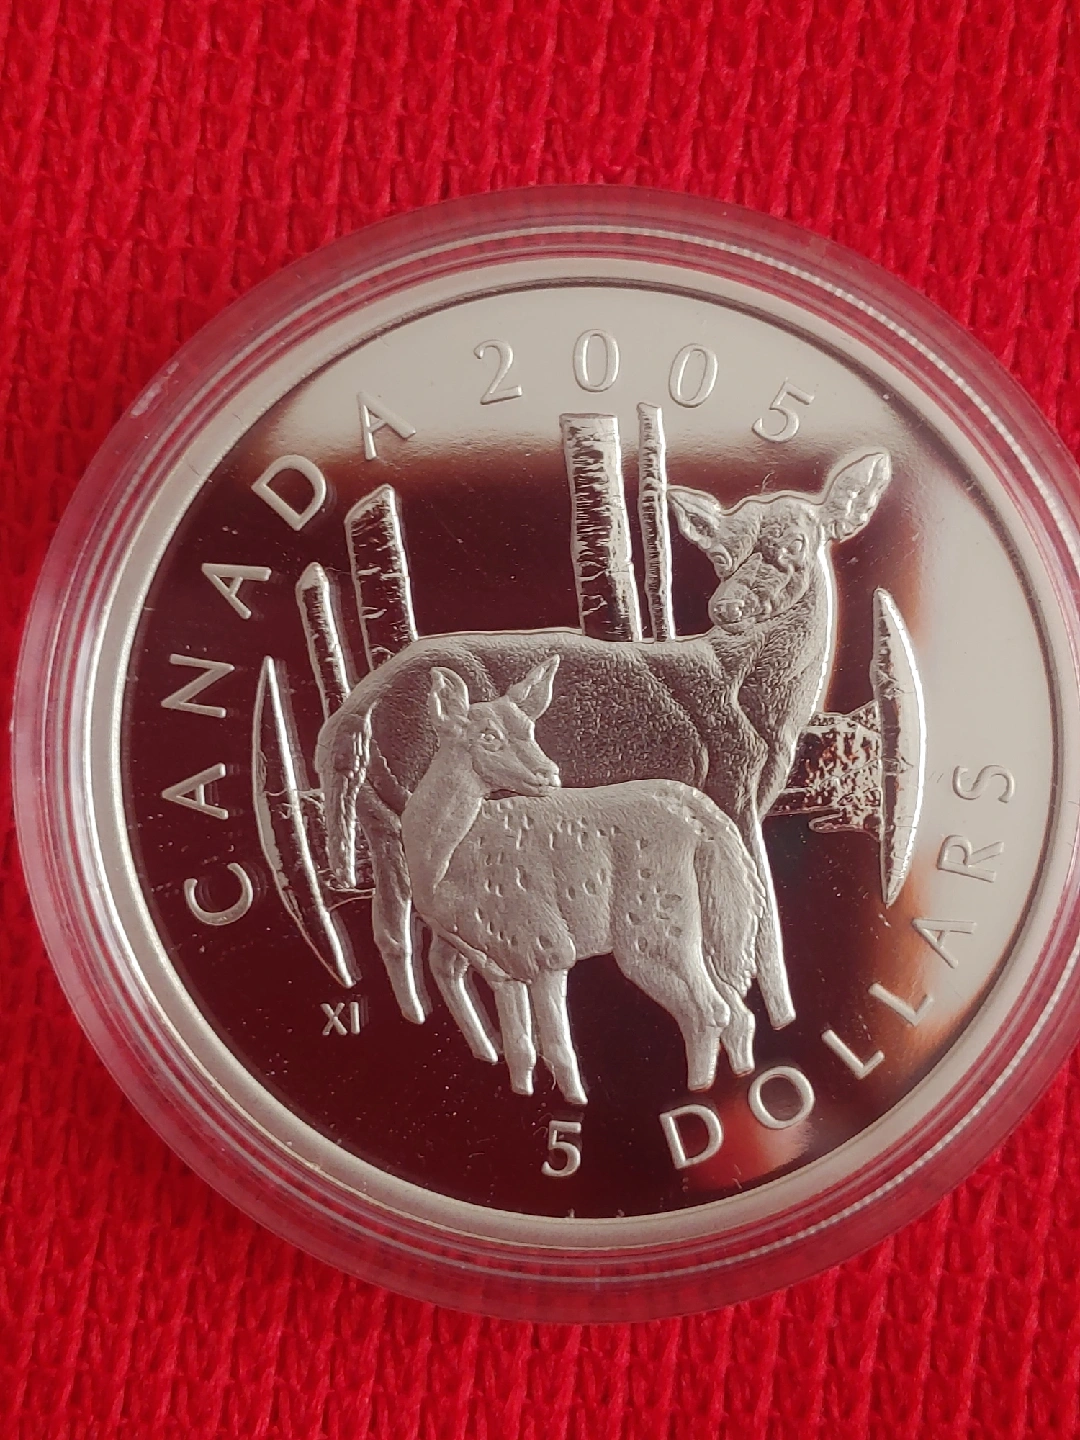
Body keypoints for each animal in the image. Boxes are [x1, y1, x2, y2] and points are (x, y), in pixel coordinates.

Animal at [315, 450, 892, 1047]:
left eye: (795, 544)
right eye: (719, 554)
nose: (726, 608)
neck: (758, 709)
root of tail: (350, 713)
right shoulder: (727, 789)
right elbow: (763, 920)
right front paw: (780, 1016)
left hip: (380, 816)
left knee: (397, 933)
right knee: (440, 945)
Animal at [398, 655, 767, 1104]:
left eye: (530, 728)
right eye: (487, 736)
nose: (547, 773)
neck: (444, 863)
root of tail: (708, 822)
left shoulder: (546, 945)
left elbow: (559, 1047)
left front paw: (575, 1101)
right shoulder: (501, 962)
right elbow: (522, 1047)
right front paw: (523, 1094)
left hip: (654, 925)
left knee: (707, 1011)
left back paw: (698, 1090)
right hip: (711, 927)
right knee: (739, 1013)